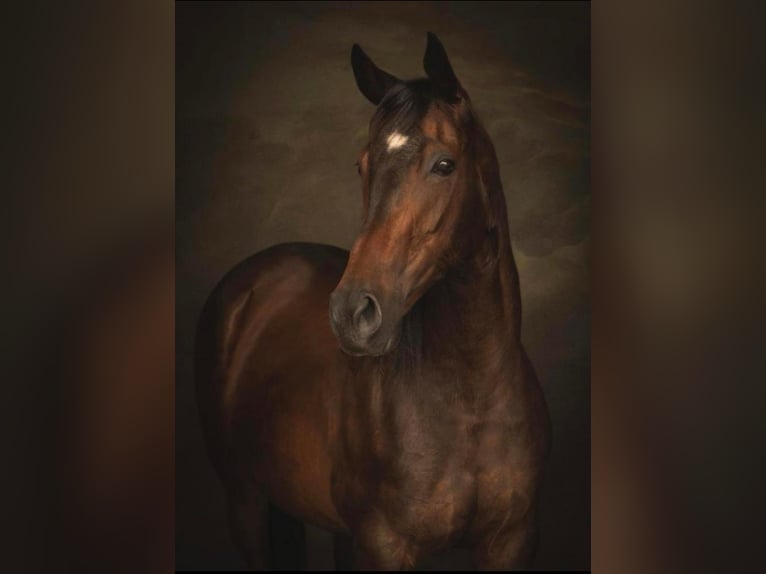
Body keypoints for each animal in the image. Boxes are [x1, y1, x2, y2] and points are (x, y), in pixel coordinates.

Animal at [195, 33, 551, 570]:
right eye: (362, 165)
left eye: (444, 164)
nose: (352, 313)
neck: (471, 401)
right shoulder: (384, 546)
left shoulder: (510, 542)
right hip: (246, 502)